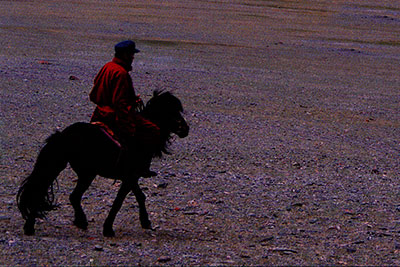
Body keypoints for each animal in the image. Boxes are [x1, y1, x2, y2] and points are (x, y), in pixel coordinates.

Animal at [17, 91, 189, 238]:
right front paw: (108, 229)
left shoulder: (131, 177)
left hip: (77, 171)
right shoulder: (129, 176)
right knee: (50, 193)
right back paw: (33, 227)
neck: (141, 134)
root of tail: (63, 136)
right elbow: (119, 202)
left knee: (68, 195)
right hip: (80, 172)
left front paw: (145, 221)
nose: (186, 129)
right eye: (171, 113)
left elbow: (140, 196)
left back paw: (77, 222)